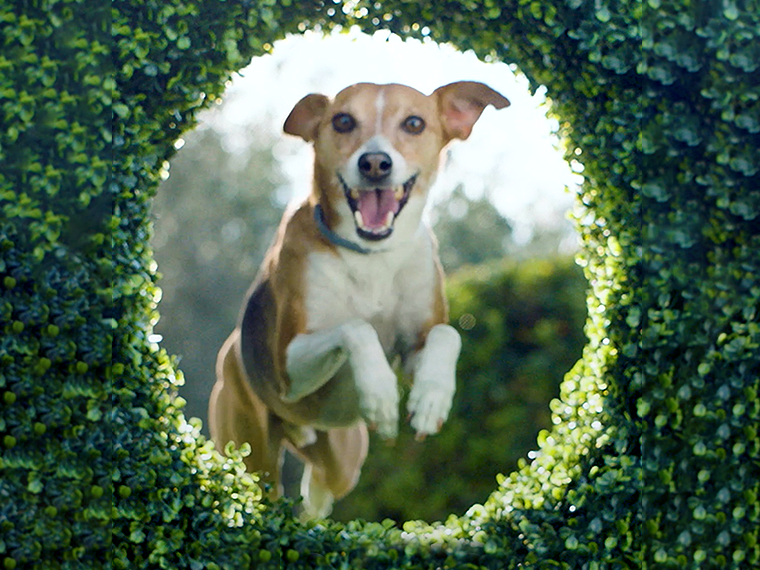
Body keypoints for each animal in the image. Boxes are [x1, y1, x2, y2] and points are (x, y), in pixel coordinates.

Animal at [209, 80, 510, 516]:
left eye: (414, 123)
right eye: (343, 121)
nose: (375, 163)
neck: (370, 256)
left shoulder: (413, 346)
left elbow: (446, 335)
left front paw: (431, 398)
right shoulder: (288, 368)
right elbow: (356, 327)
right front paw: (381, 394)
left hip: (343, 455)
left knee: (321, 487)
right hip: (251, 449)